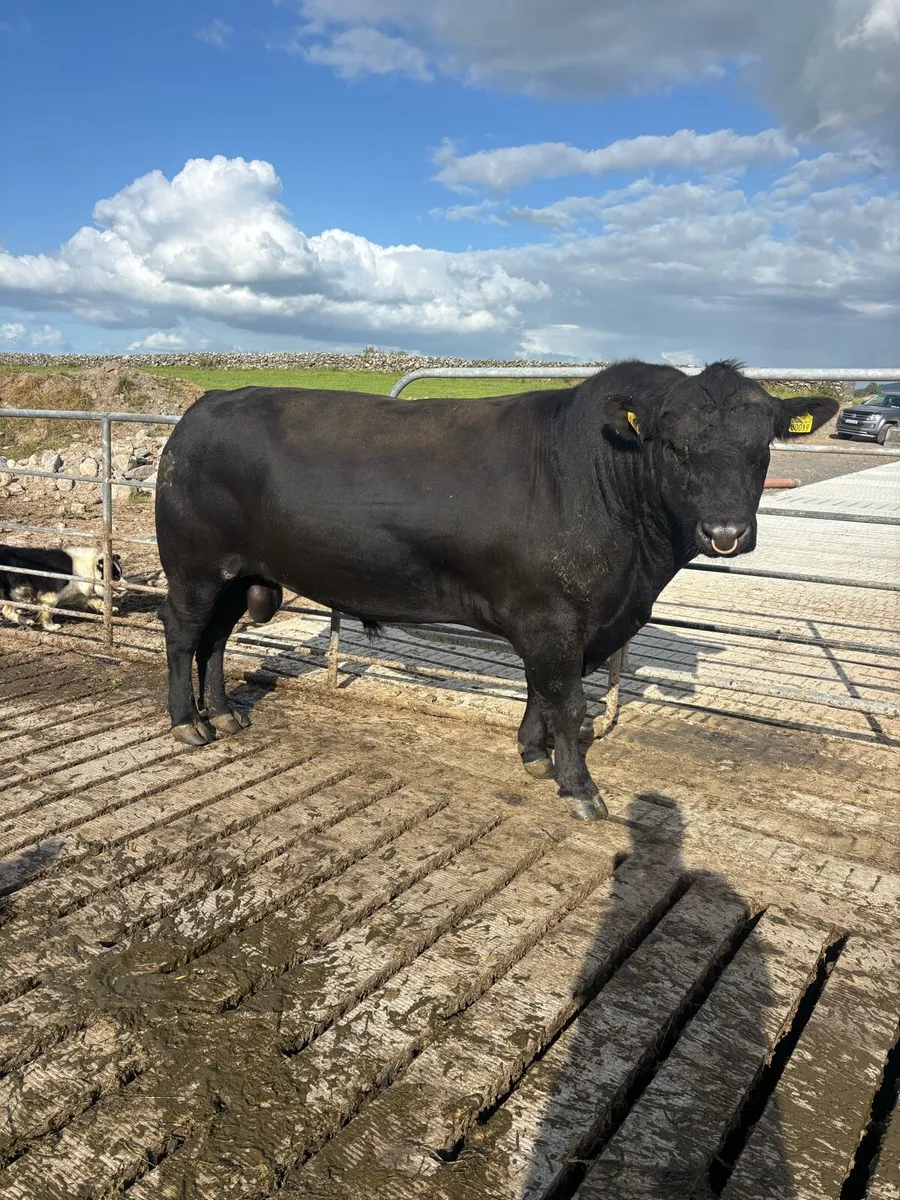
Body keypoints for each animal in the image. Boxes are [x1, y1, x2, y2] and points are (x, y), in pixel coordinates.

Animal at [155, 360, 838, 819]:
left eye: (761, 446)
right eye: (673, 444)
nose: (725, 532)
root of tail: (205, 406)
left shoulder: (568, 624)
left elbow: (544, 693)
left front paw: (534, 756)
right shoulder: (551, 616)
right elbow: (571, 705)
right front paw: (581, 791)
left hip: (238, 575)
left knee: (215, 640)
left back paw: (224, 714)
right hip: (193, 566)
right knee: (183, 632)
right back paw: (188, 722)